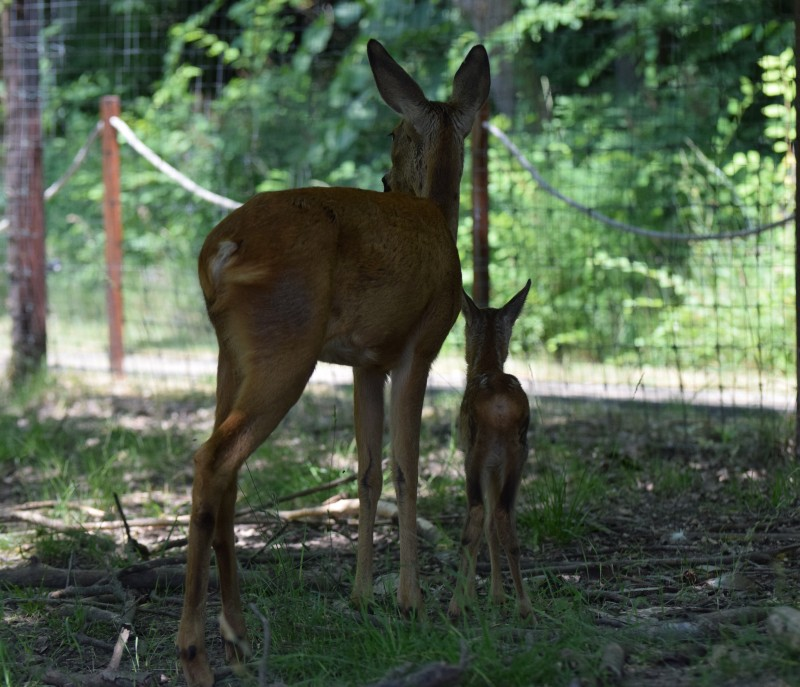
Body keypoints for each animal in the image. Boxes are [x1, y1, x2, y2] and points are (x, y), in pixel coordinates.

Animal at [178, 40, 490, 684]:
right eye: (397, 129)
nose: (386, 179)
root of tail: (219, 251)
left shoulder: (365, 363)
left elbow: (368, 471)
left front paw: (362, 596)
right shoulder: (419, 348)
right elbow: (407, 469)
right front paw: (411, 602)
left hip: (232, 352)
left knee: (228, 471)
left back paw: (238, 640)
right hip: (287, 346)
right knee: (212, 458)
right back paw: (196, 654)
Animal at [446, 280, 536, 620]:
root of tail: (499, 407)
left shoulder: (477, 459)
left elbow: (479, 526)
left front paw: (473, 597)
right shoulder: (498, 467)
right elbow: (494, 529)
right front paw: (496, 596)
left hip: (475, 454)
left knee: (476, 516)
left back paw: (455, 605)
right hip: (518, 455)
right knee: (503, 516)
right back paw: (524, 606)